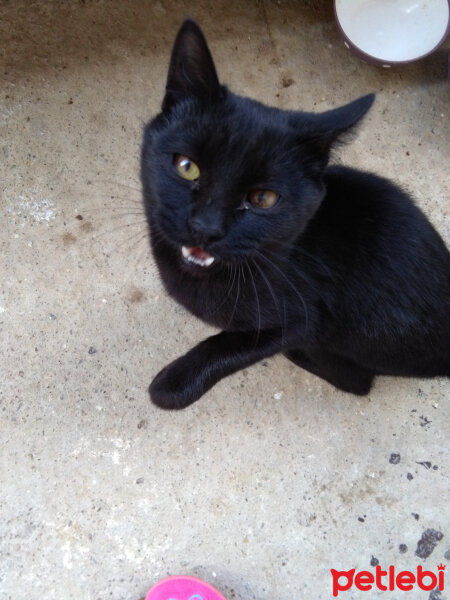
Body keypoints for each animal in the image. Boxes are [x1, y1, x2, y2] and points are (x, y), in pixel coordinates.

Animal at [140, 21, 446, 410]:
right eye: (186, 166)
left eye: (263, 198)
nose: (205, 227)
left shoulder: (302, 317)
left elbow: (234, 343)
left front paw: (175, 383)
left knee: (356, 381)